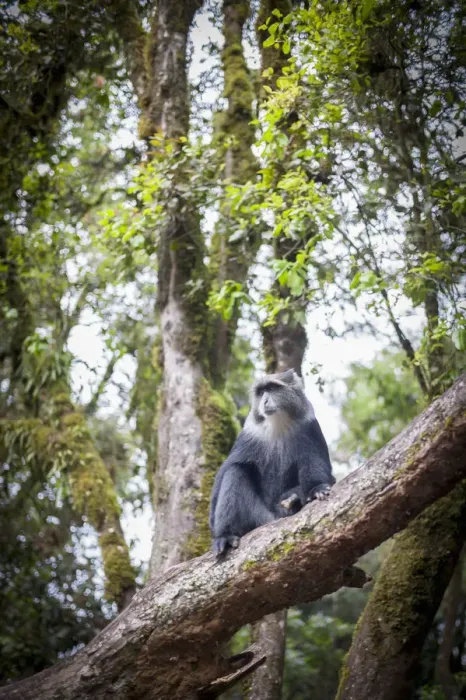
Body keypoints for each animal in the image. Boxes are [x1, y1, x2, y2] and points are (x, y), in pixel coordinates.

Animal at [209, 369, 335, 557]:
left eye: (271, 388)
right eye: (261, 392)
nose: (265, 401)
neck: (278, 424)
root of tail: (273, 517)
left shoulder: (309, 427)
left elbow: (315, 461)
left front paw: (315, 489)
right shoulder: (249, 436)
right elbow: (227, 468)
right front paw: (216, 531)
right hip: (258, 517)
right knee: (235, 472)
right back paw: (226, 535)